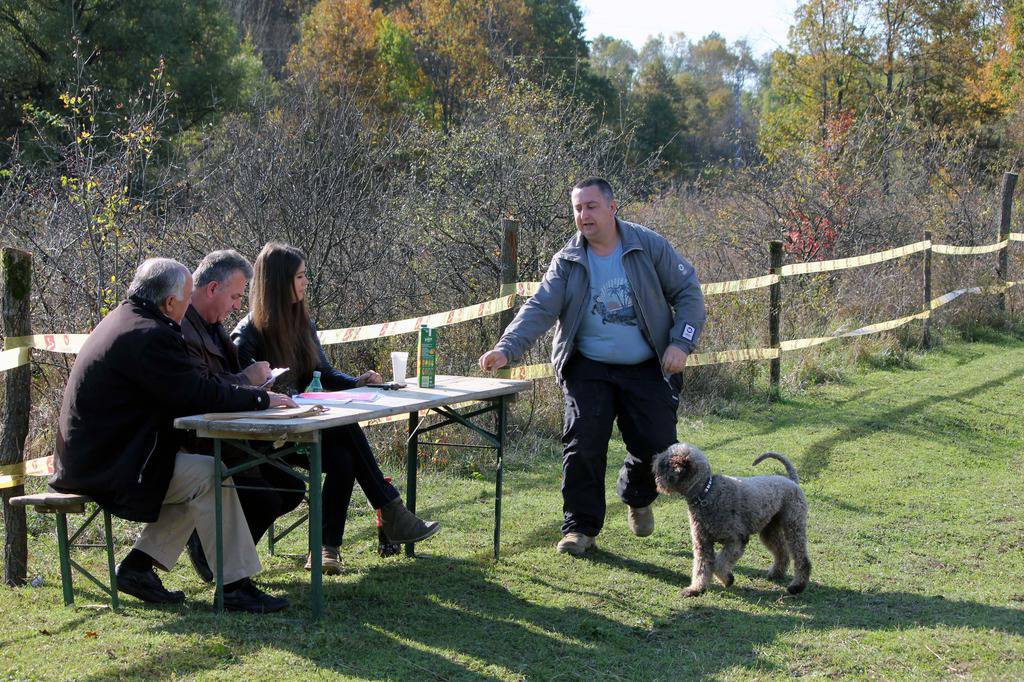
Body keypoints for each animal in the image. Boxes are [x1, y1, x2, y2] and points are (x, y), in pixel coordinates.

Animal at [651, 440, 811, 593]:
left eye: (664, 461)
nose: (654, 459)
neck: (706, 492)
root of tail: (793, 482)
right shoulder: (702, 543)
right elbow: (701, 567)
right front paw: (696, 589)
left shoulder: (736, 540)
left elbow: (718, 564)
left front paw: (727, 579)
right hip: (769, 531)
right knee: (782, 552)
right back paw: (776, 574)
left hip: (793, 527)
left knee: (802, 559)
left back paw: (797, 586)